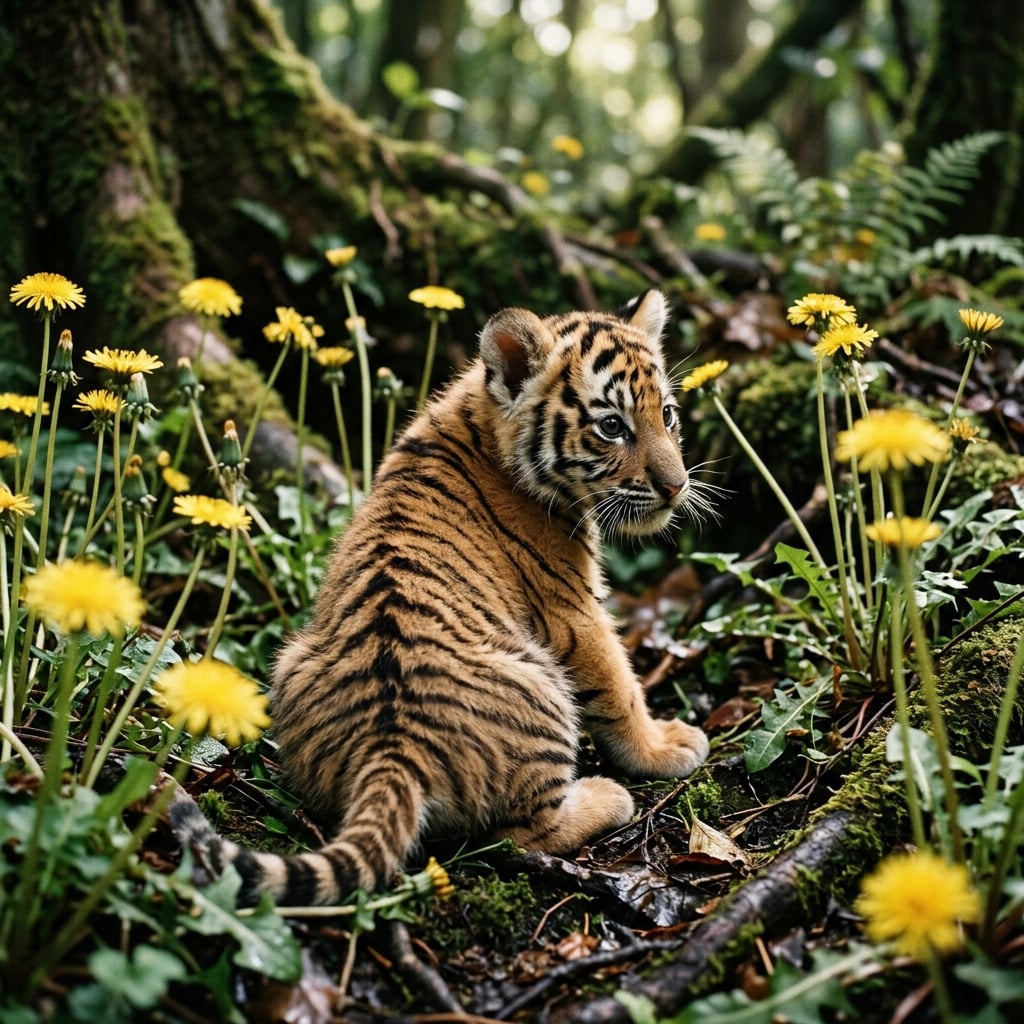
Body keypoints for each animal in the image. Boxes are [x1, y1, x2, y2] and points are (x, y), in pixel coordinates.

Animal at [171, 289, 713, 906]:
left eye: (666, 414)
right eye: (612, 425)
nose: (676, 486)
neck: (484, 419)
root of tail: (392, 749)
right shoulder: (573, 612)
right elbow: (621, 688)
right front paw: (664, 747)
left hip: (291, 664)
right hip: (541, 684)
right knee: (521, 834)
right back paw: (606, 797)